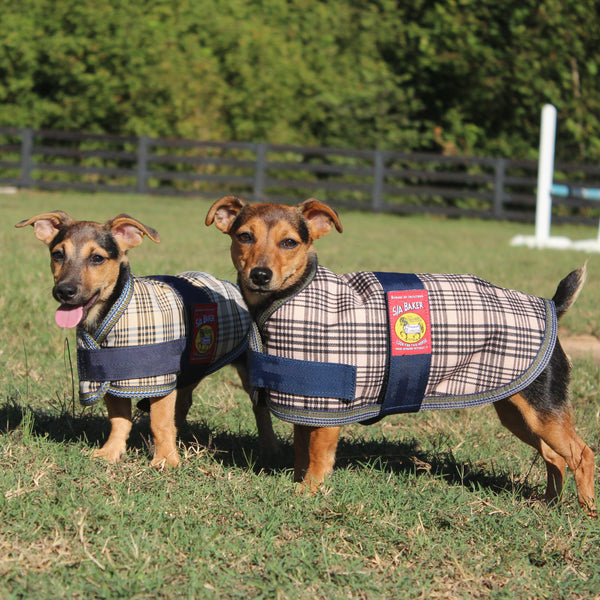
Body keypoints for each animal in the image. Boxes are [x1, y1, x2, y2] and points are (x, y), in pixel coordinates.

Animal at [15, 211, 276, 468]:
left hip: (248, 370)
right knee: (184, 402)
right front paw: (111, 452)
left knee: (260, 410)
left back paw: (267, 449)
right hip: (190, 369)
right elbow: (120, 420)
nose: (64, 291)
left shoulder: (160, 378)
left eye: (97, 258)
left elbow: (159, 421)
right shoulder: (110, 376)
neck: (113, 312)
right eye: (58, 254)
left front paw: (166, 460)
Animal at [206, 196, 596, 516]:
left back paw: (586, 512)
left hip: (543, 410)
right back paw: (548, 503)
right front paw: (299, 483)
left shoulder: (329, 411)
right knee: (554, 456)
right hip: (518, 410)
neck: (288, 297)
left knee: (581, 454)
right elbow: (302, 451)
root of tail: (552, 306)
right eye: (244, 236)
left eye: (290, 242)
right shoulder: (306, 405)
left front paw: (309, 492)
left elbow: (317, 457)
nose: (260, 274)